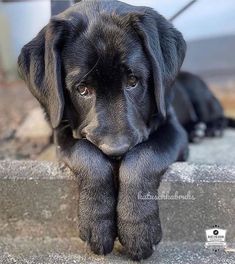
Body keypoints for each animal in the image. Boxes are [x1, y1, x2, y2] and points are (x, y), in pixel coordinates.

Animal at [17, 0, 233, 260]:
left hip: (196, 87)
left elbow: (142, 158)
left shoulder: (170, 129)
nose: (116, 151)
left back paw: (208, 127)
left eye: (133, 81)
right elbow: (87, 155)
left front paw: (137, 228)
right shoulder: (62, 132)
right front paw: (97, 223)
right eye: (82, 89)